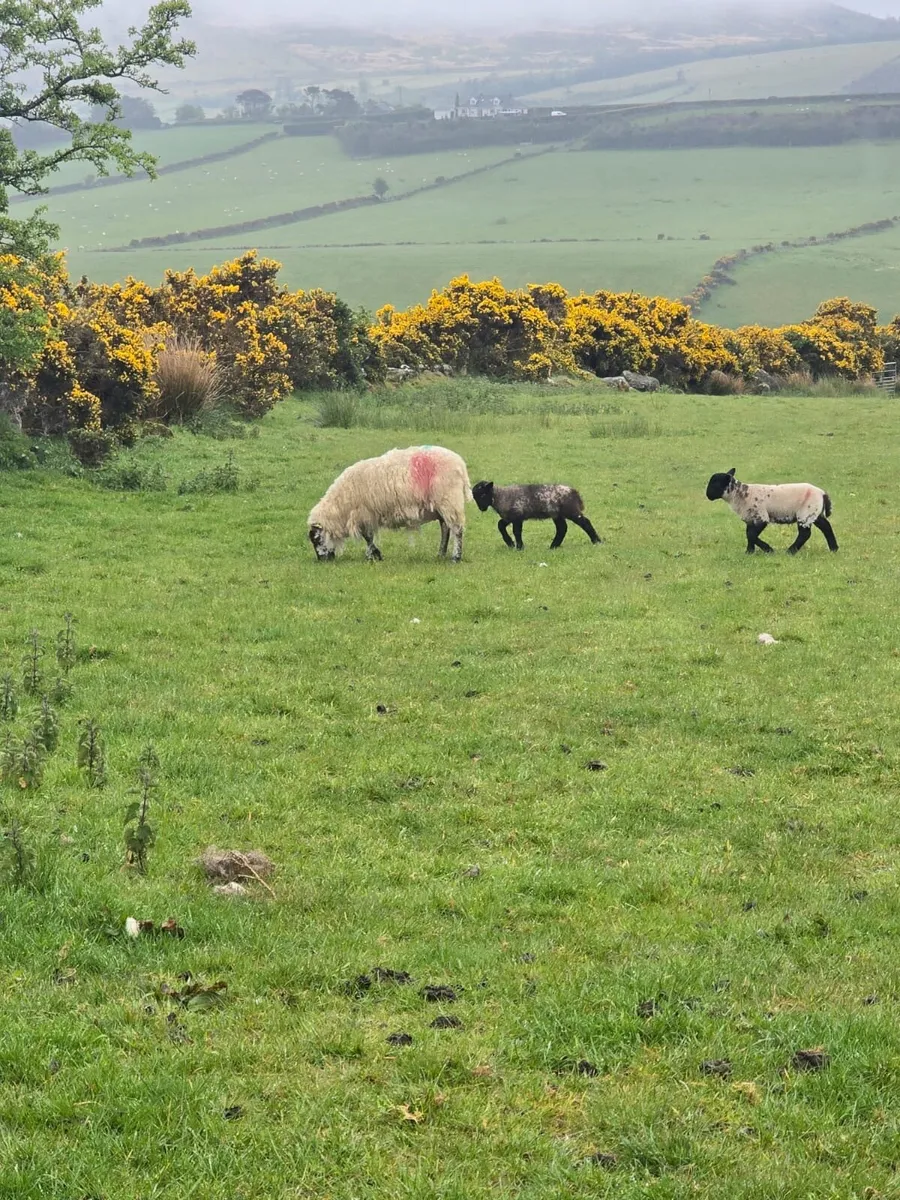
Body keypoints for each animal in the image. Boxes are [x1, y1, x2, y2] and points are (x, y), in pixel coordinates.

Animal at [308, 445, 471, 563]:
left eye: (316, 539)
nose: (322, 560)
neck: (341, 507)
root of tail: (460, 464)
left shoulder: (365, 514)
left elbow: (368, 536)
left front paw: (374, 555)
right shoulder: (367, 515)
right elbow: (369, 536)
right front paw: (373, 555)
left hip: (449, 500)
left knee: (457, 530)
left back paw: (456, 557)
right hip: (442, 505)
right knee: (445, 529)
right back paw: (441, 554)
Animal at [471, 480, 601, 550]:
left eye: (483, 495)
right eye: (475, 497)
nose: (481, 508)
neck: (500, 496)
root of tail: (574, 492)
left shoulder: (517, 516)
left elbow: (516, 532)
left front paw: (519, 547)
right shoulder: (509, 517)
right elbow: (500, 525)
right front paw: (510, 543)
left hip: (571, 511)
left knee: (585, 522)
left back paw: (597, 541)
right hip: (557, 514)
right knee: (562, 528)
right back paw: (553, 546)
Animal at [705, 467, 838, 555]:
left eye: (715, 483)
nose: (707, 495)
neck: (740, 494)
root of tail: (822, 493)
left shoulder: (761, 517)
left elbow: (751, 535)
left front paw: (769, 549)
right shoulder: (750, 518)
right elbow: (749, 534)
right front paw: (749, 552)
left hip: (806, 512)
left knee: (805, 534)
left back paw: (790, 551)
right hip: (814, 512)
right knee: (826, 527)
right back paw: (834, 549)